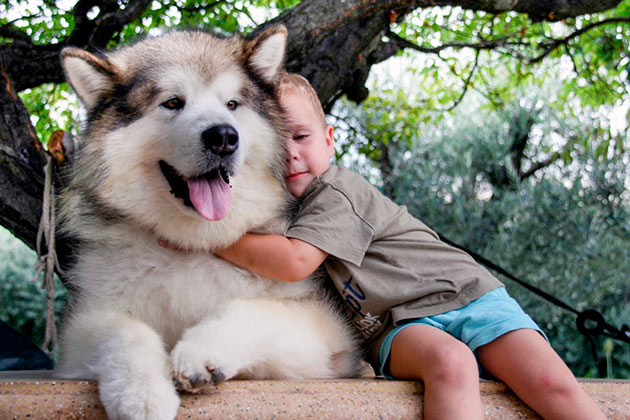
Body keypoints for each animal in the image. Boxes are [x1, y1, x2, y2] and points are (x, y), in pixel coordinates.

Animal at [58, 27, 366, 420]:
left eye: (232, 104)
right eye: (173, 102)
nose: (223, 137)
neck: (192, 244)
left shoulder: (328, 338)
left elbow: (250, 310)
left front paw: (200, 352)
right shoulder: (80, 330)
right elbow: (127, 332)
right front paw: (142, 394)